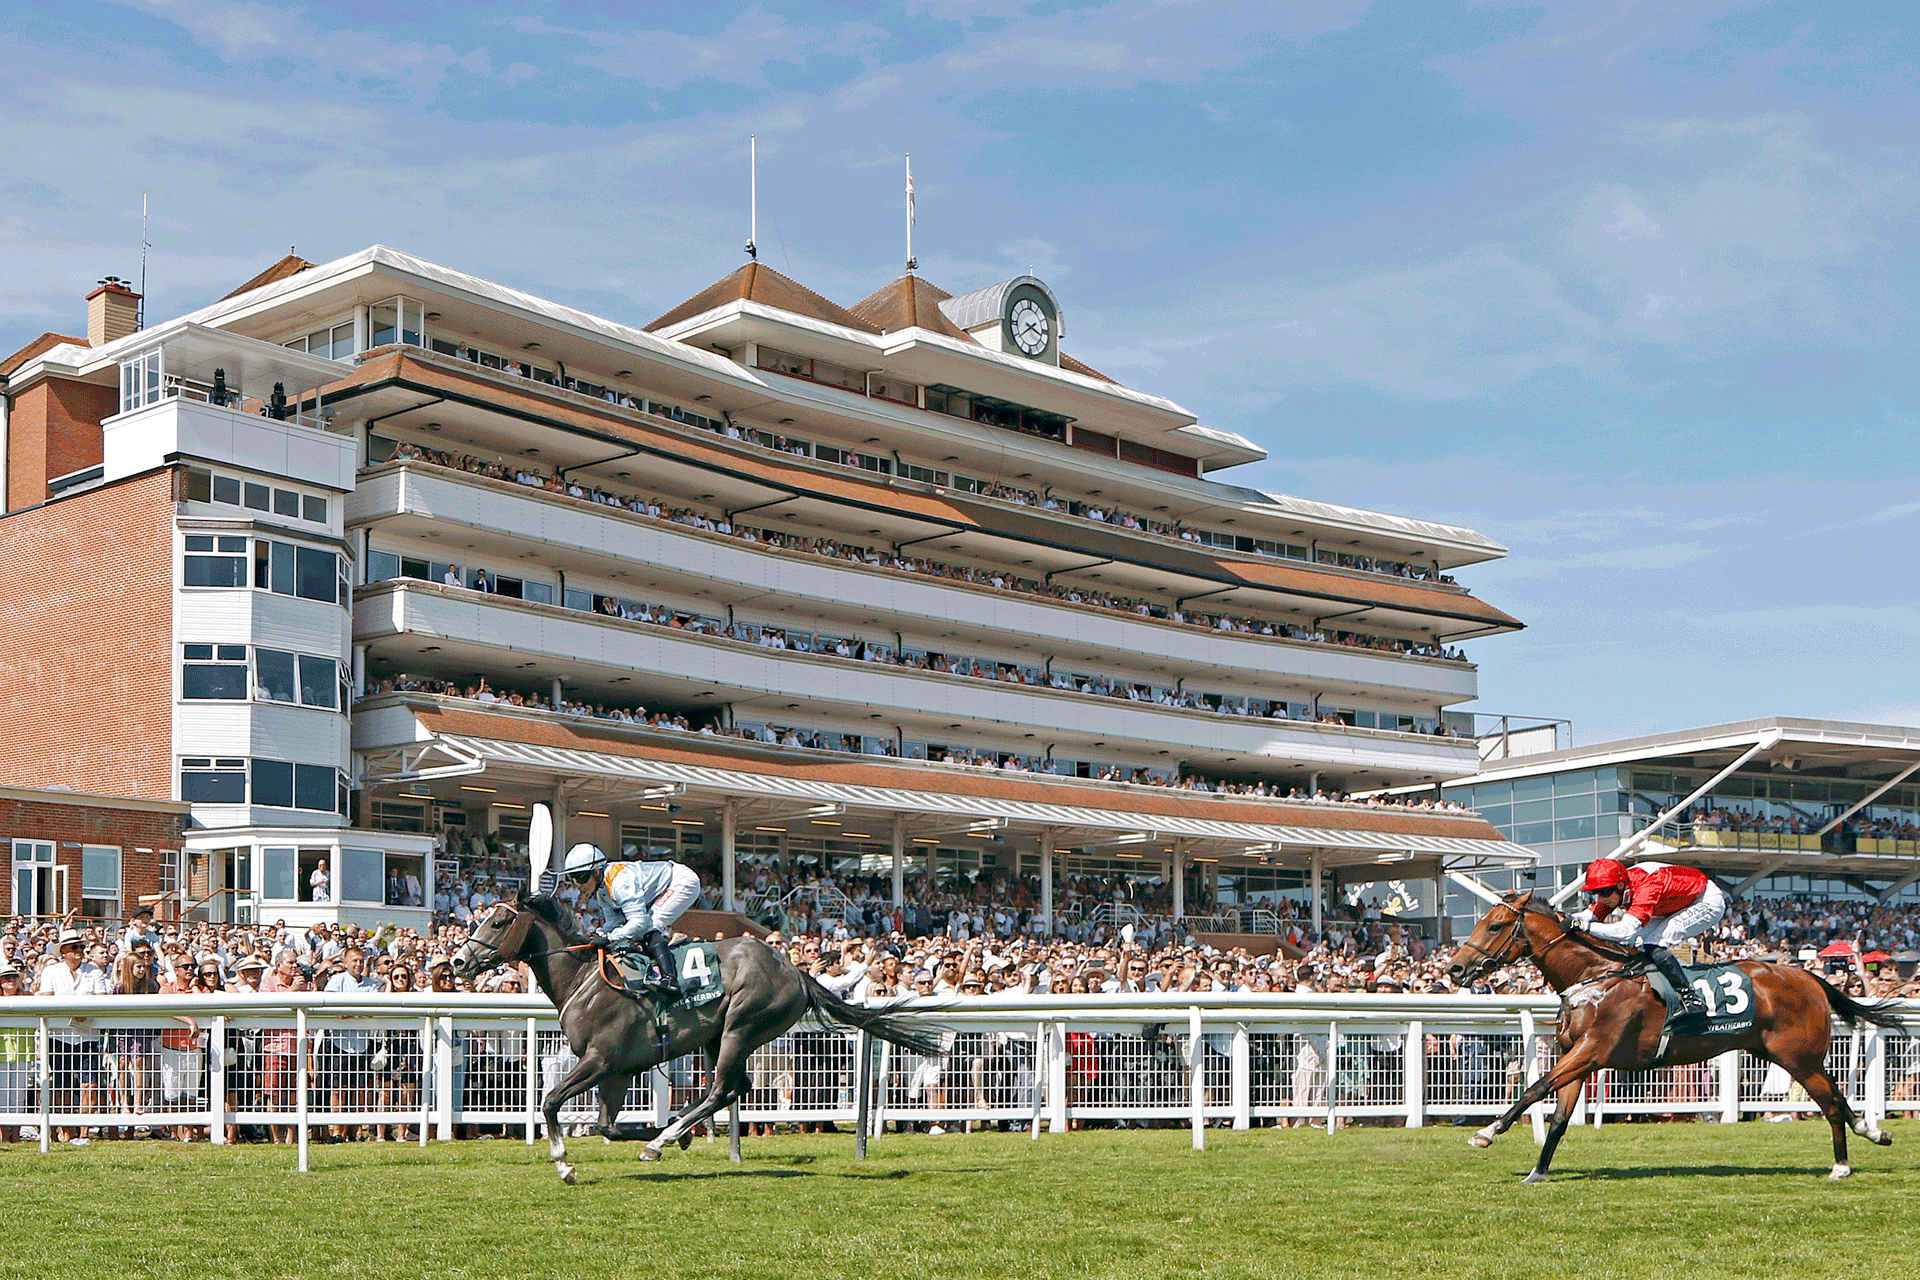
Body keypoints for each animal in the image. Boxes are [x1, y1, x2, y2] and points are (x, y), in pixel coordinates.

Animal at [458, 890, 952, 1182]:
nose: (461, 961)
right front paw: (664, 1133)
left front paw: (565, 1165)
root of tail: (795, 969)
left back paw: (665, 1139)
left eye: (498, 923)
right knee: (735, 1087)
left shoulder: (600, 1060)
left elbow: (550, 1103)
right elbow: (606, 1125)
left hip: (740, 1025)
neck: (585, 979)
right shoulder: (617, 1070)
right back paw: (676, 1131)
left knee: (721, 1088)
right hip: (722, 1036)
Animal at [1443, 890, 1896, 1182]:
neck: (1595, 976)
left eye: (1495, 925)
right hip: (1791, 1057)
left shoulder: (1592, 1051)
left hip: (1797, 1058)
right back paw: (1874, 1132)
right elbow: (1557, 1118)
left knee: (1830, 1104)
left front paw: (1487, 1133)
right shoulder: (1579, 1056)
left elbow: (1535, 1088)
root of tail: (1806, 975)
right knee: (1836, 1097)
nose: (1456, 970)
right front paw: (1537, 1172)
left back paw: (1841, 1165)